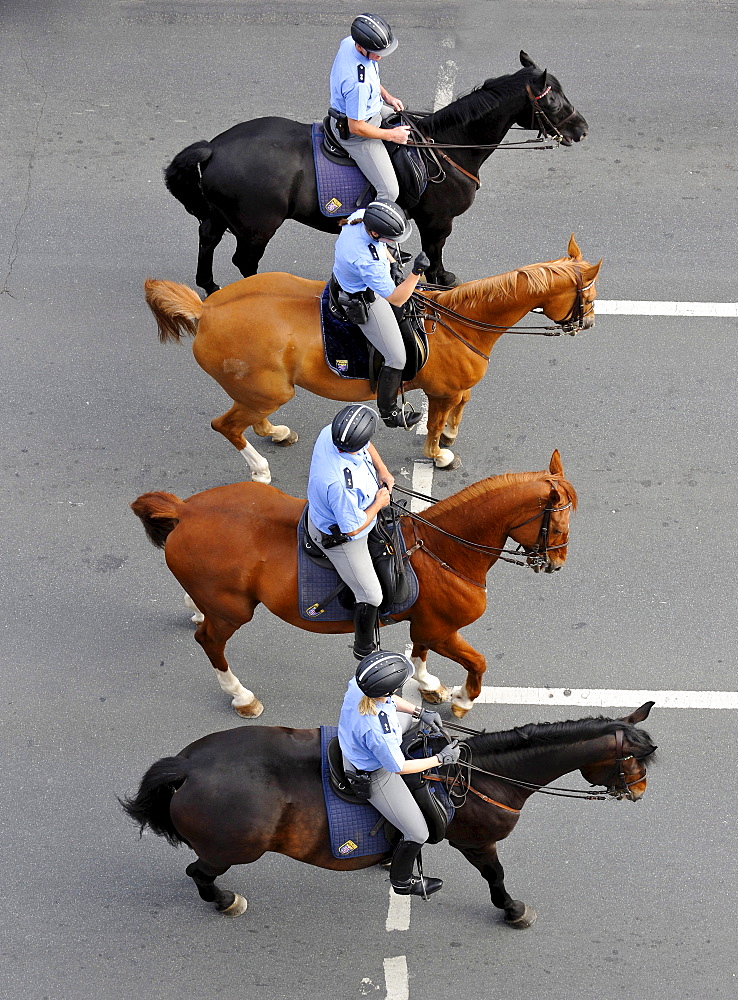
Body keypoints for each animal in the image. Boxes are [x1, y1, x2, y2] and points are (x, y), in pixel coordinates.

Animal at [121, 704, 656, 920]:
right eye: (633, 758)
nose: (640, 791)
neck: (481, 775)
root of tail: (188, 766)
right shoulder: (477, 841)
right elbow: (496, 876)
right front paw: (512, 909)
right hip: (233, 848)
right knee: (199, 872)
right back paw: (224, 900)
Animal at [132, 452, 576, 720]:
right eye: (557, 525)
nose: (556, 564)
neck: (442, 547)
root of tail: (187, 510)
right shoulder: (441, 628)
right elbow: (476, 662)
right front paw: (462, 700)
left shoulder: (427, 625)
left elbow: (419, 654)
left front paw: (429, 685)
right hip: (233, 612)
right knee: (210, 641)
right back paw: (241, 696)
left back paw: (193, 607)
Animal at [142, 236, 600, 482]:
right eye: (590, 294)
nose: (589, 323)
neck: (459, 323)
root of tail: (207, 311)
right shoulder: (441, 392)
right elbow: (436, 425)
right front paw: (440, 453)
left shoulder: (455, 389)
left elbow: (461, 406)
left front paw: (451, 435)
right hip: (267, 391)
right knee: (227, 426)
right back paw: (259, 469)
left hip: (262, 392)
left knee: (249, 420)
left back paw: (276, 433)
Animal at [165, 52, 588, 292]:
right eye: (551, 97)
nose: (581, 129)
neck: (445, 145)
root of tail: (214, 146)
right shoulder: (438, 220)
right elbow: (436, 252)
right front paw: (441, 279)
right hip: (257, 226)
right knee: (245, 262)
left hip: (221, 217)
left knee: (207, 241)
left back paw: (211, 286)